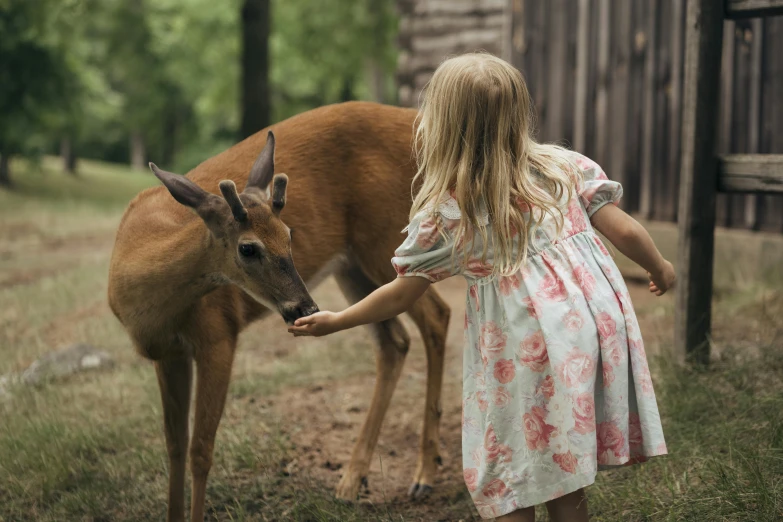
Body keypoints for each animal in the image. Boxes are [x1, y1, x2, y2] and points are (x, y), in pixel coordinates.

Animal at [109, 101, 454, 520]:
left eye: (289, 235)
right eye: (248, 248)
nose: (305, 306)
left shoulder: (218, 333)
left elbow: (200, 450)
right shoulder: (168, 354)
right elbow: (174, 445)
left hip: (388, 234)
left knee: (436, 317)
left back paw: (424, 474)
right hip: (351, 264)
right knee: (394, 341)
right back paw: (352, 479)